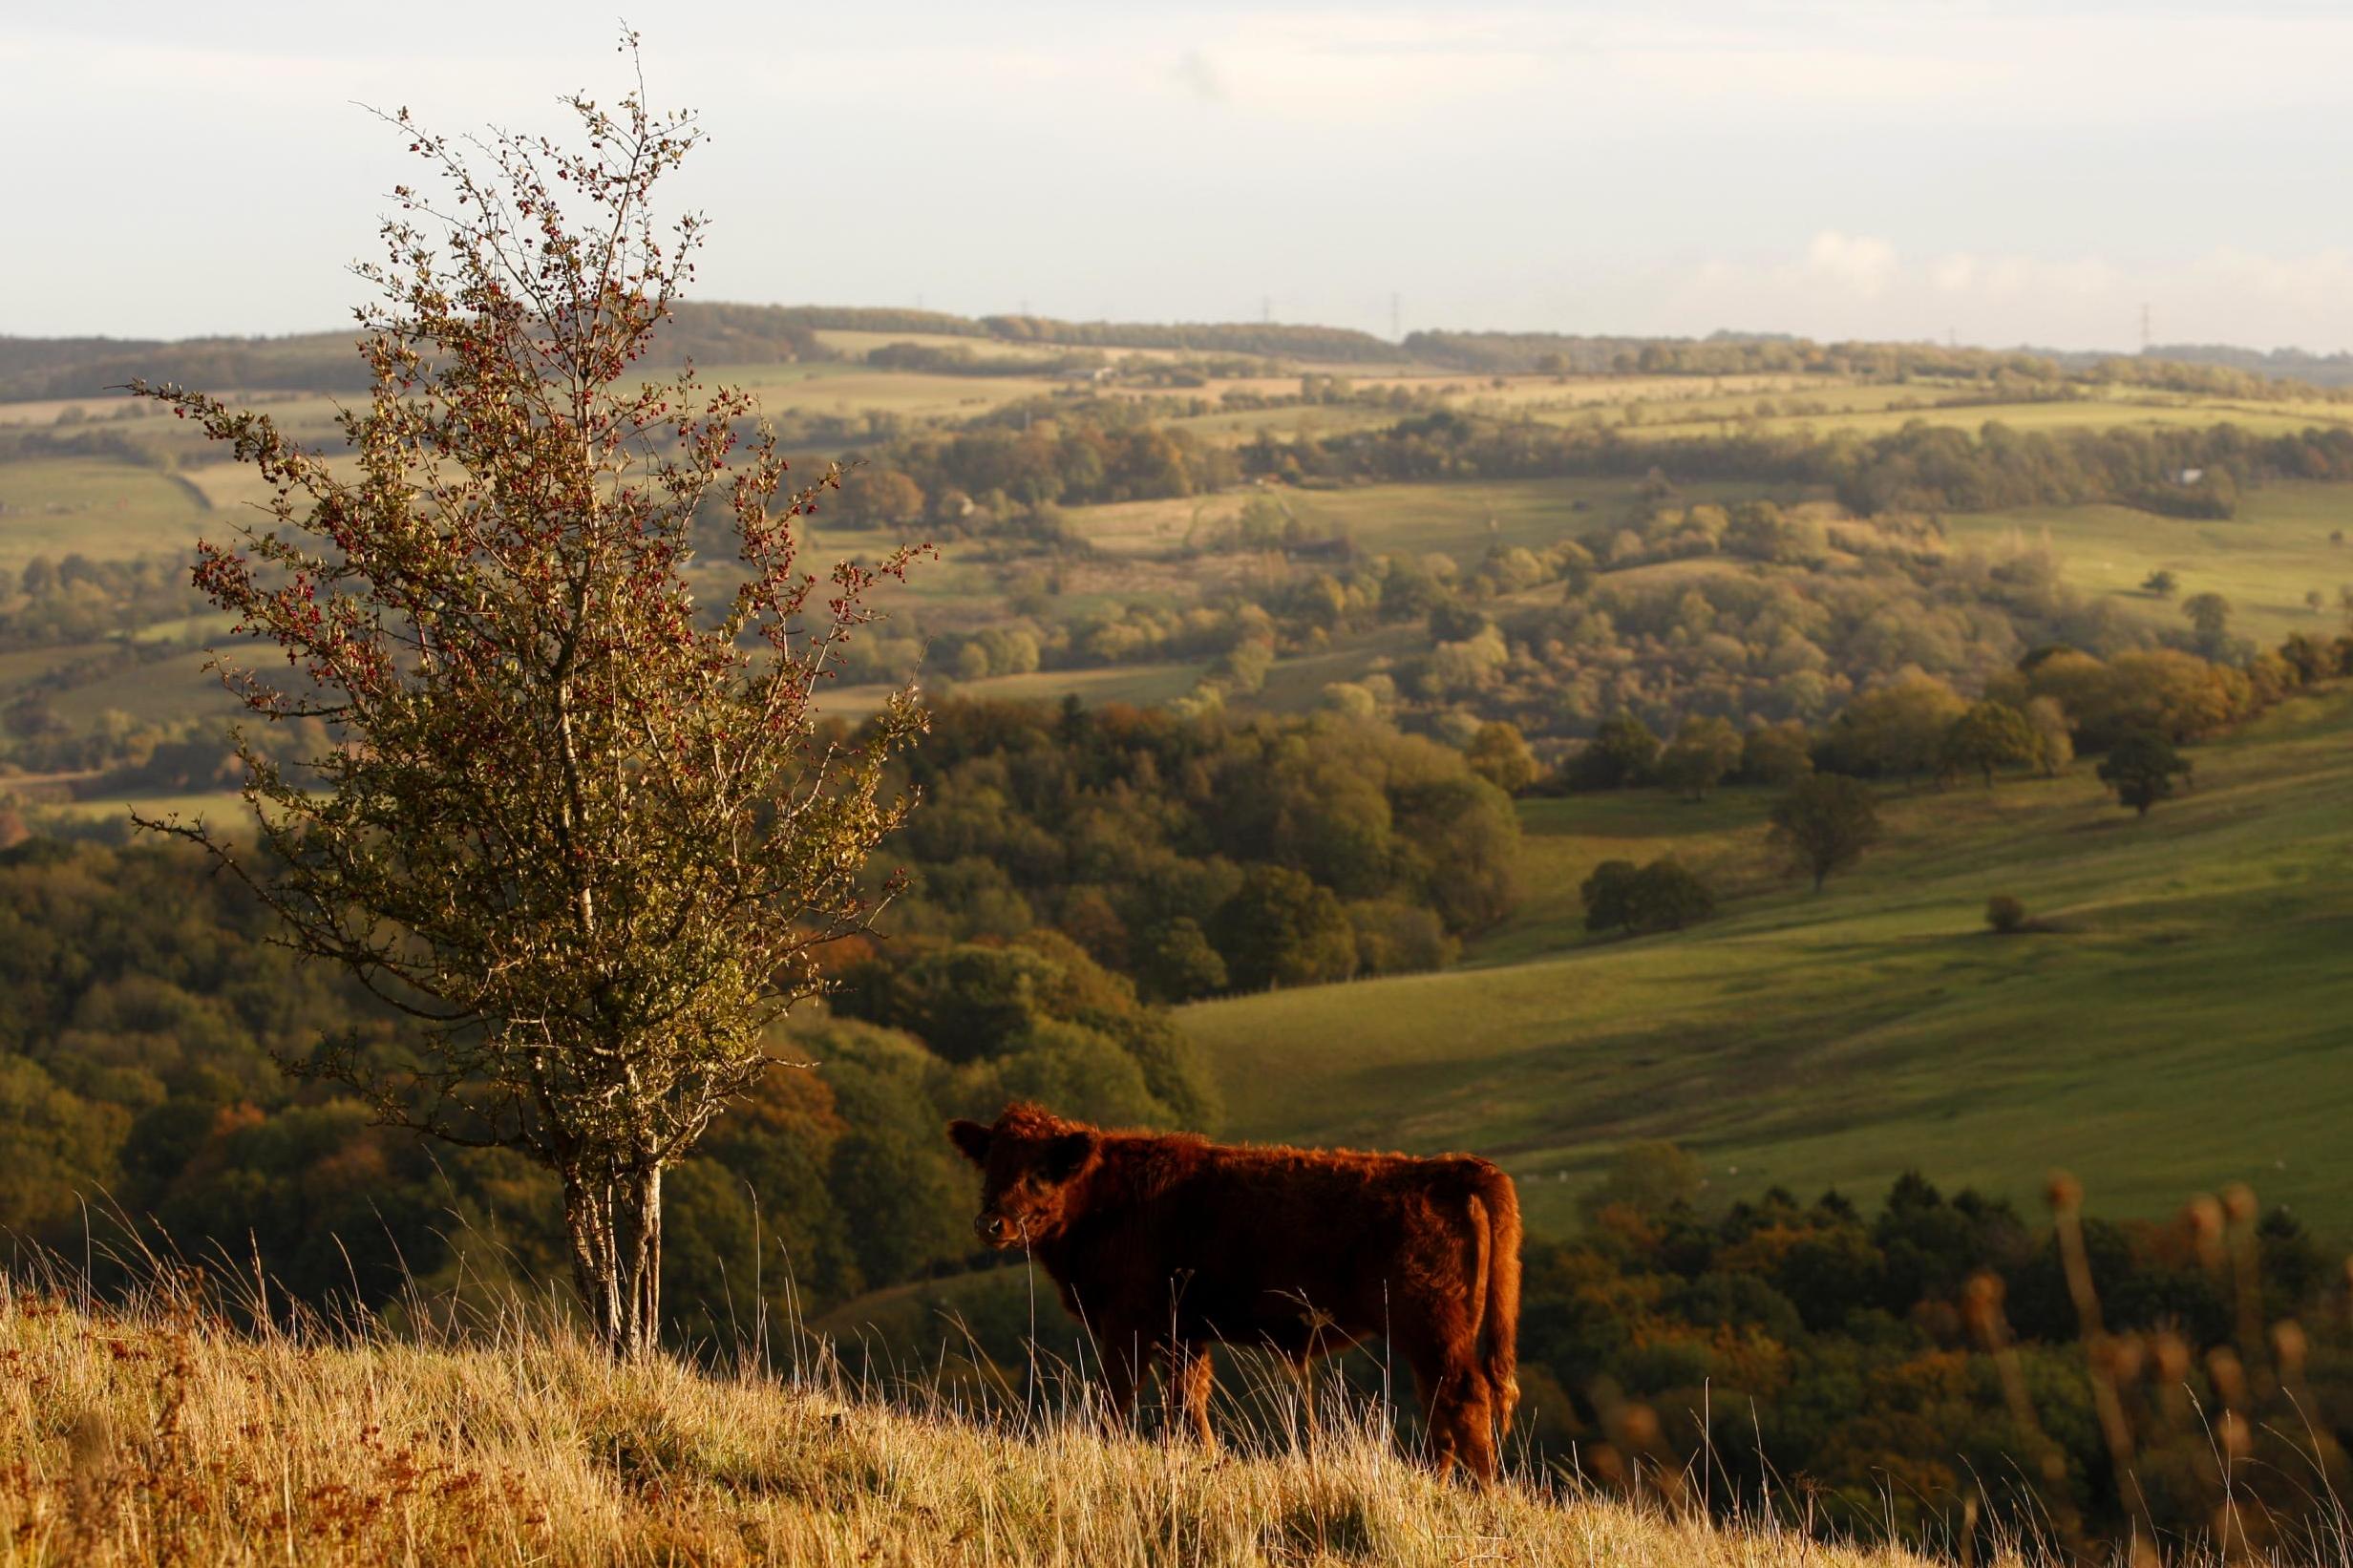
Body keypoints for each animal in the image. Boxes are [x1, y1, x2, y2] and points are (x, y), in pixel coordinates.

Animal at [950, 1091, 1524, 1469]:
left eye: (1040, 1173)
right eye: (990, 1166)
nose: (990, 1223)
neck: (1106, 1196)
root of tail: (1444, 1171)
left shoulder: (1128, 1326)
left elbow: (1118, 1397)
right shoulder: (1184, 1333)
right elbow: (1188, 1405)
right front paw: (1205, 1461)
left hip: (1431, 1329)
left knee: (1464, 1399)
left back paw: (1479, 1492)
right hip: (1431, 1338)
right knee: (1441, 1406)